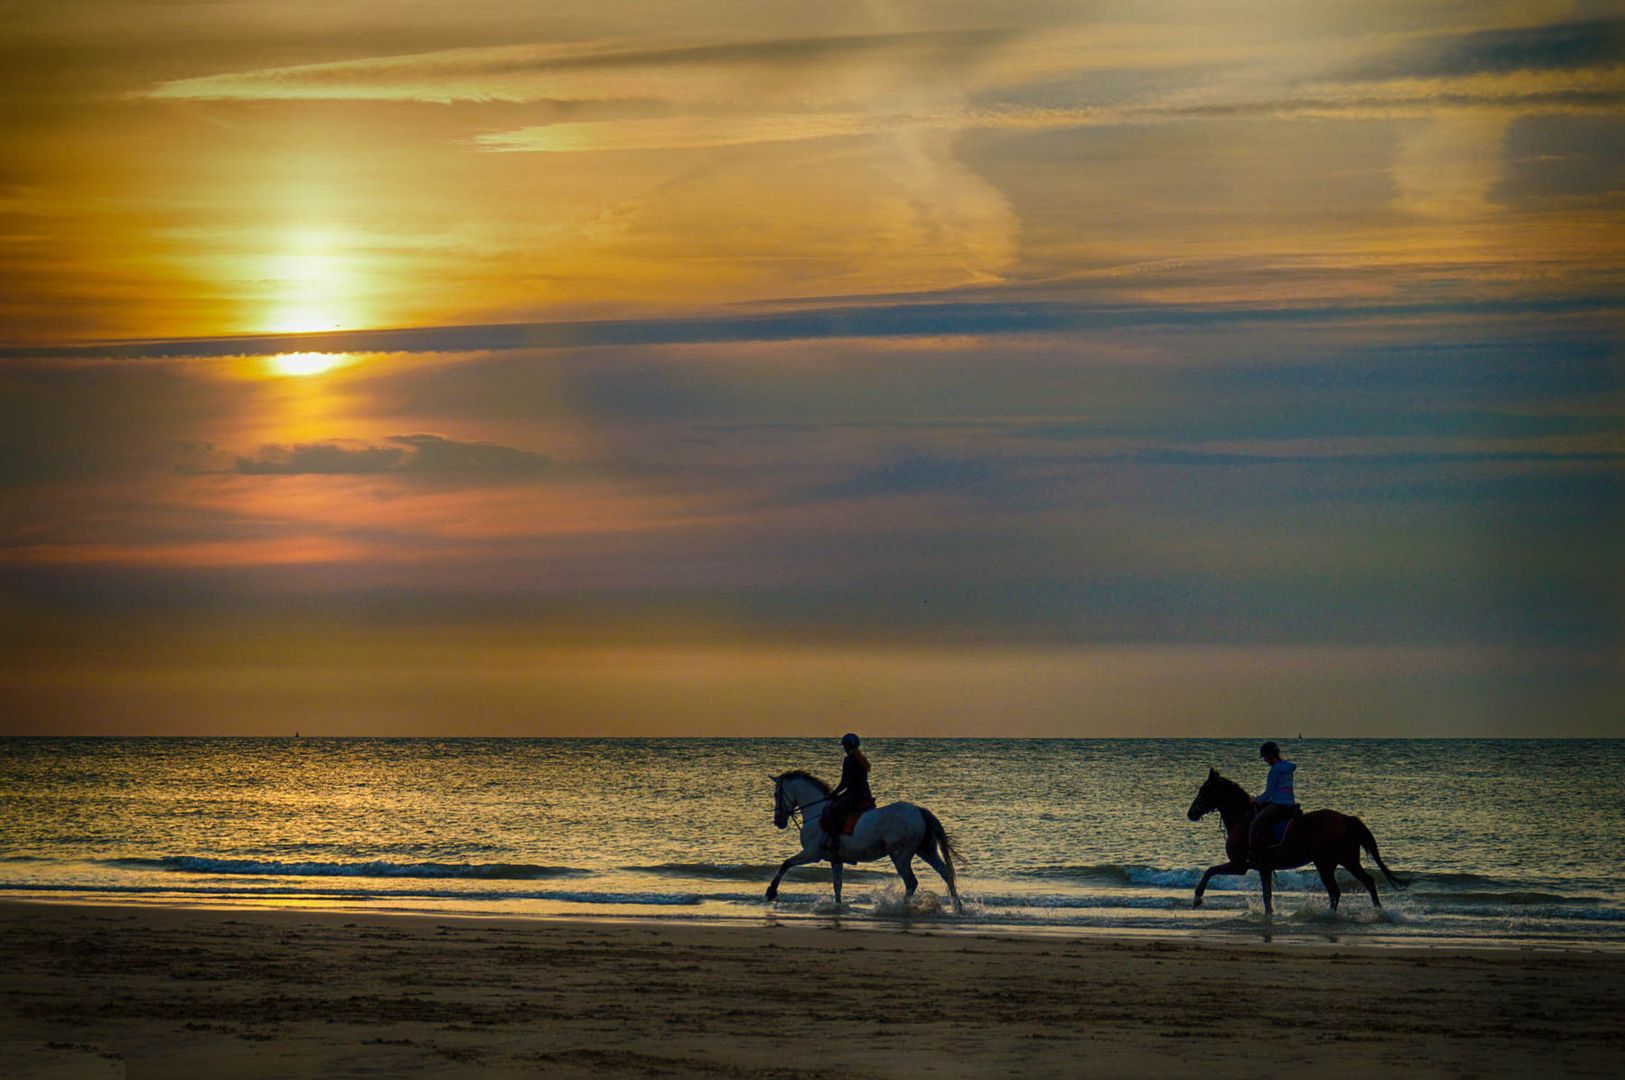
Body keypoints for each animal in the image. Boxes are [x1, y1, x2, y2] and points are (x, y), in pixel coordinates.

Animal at [763, 766, 955, 909]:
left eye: (775, 795)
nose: (778, 821)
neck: (816, 812)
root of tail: (917, 811)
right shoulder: (836, 859)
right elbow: (837, 885)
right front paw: (838, 906)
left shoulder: (811, 854)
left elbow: (786, 863)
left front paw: (771, 891)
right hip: (926, 850)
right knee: (946, 873)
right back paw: (957, 907)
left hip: (900, 855)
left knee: (911, 882)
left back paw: (902, 907)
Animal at [1189, 766, 1404, 909]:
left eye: (1204, 791)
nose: (1191, 813)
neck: (1243, 819)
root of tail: (1344, 819)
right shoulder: (1263, 869)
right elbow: (1267, 896)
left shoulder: (1239, 865)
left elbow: (1209, 871)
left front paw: (1198, 897)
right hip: (1348, 860)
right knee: (1368, 882)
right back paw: (1378, 912)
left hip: (1326, 864)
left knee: (1336, 891)